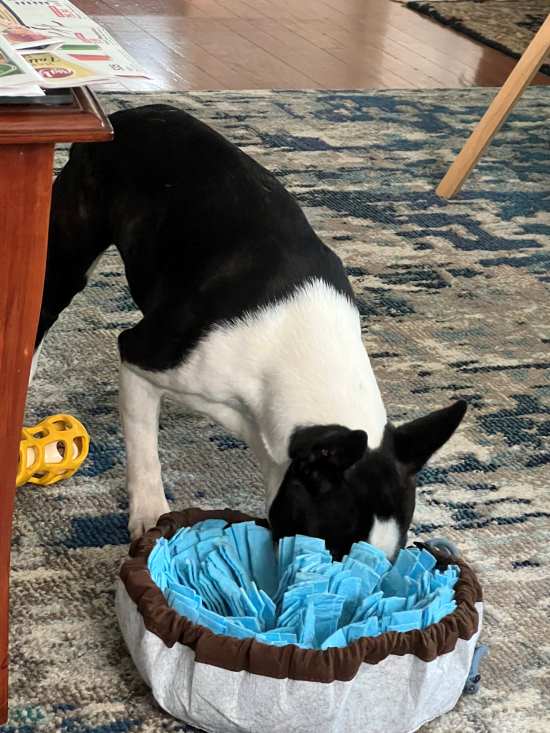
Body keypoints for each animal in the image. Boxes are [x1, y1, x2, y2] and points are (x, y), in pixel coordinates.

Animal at [32, 104, 468, 560]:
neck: (295, 350)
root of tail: (127, 115)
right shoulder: (143, 356)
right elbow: (142, 443)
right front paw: (150, 511)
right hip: (70, 251)